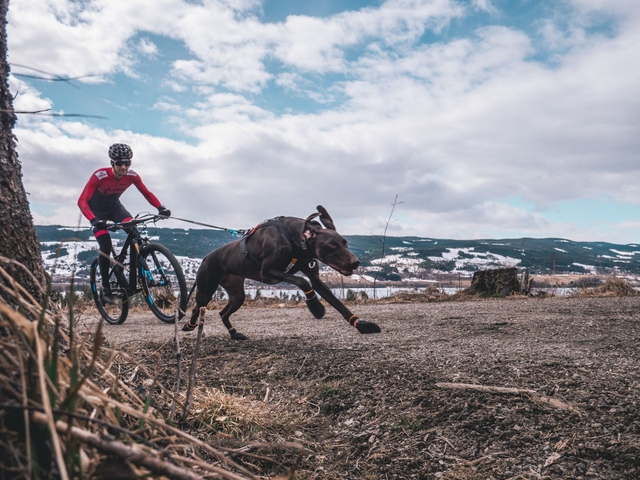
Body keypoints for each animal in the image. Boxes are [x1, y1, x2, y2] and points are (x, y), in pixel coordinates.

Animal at [181, 204, 380, 340]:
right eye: (331, 245)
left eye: (345, 243)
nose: (356, 262)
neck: (295, 240)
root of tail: (206, 257)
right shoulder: (267, 272)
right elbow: (302, 282)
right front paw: (315, 306)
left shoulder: (315, 278)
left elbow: (338, 304)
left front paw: (361, 324)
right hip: (206, 288)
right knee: (197, 307)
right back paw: (190, 325)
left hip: (237, 294)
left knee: (223, 313)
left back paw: (235, 334)